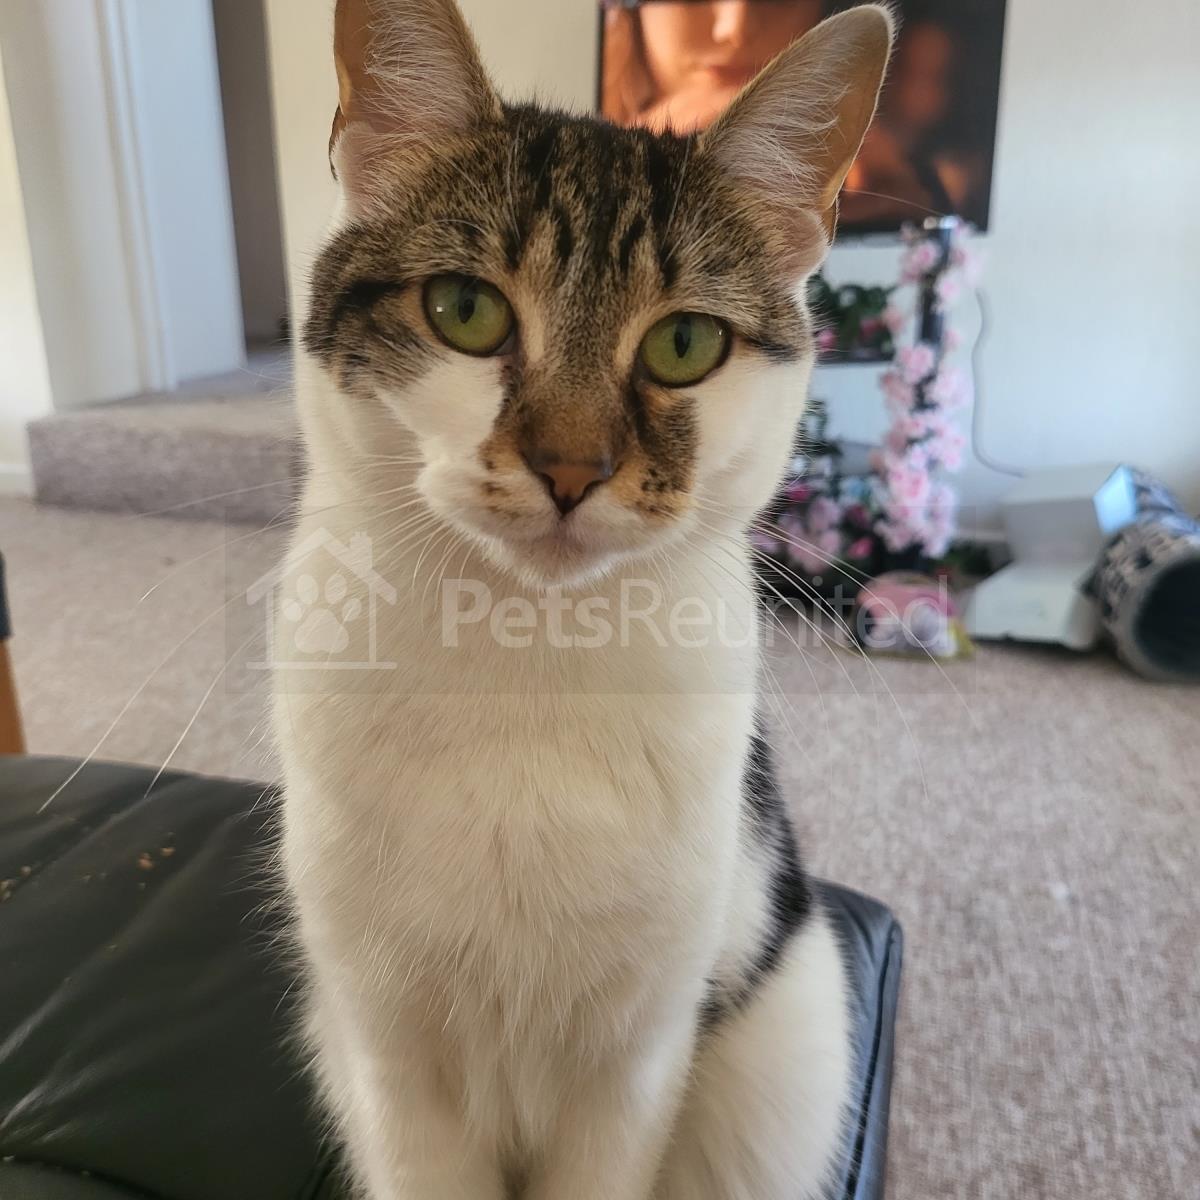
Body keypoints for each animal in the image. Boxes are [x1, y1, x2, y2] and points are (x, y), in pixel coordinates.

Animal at [274, 2, 892, 1197]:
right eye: (464, 310)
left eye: (685, 343)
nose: (570, 467)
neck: (528, 650)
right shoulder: (386, 1052)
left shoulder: (637, 1062)